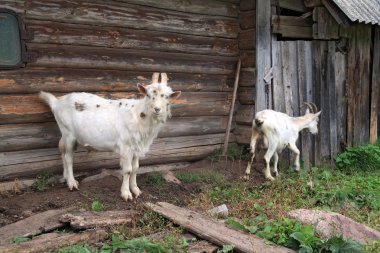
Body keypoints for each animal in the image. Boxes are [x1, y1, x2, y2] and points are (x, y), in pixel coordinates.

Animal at [39, 72, 181, 202]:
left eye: (167, 97)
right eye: (148, 94)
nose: (157, 109)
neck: (138, 115)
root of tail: (56, 103)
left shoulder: (137, 147)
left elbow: (136, 168)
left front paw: (136, 190)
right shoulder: (126, 146)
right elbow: (128, 170)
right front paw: (126, 194)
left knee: (62, 152)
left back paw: (65, 178)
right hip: (68, 132)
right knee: (68, 158)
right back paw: (72, 183)